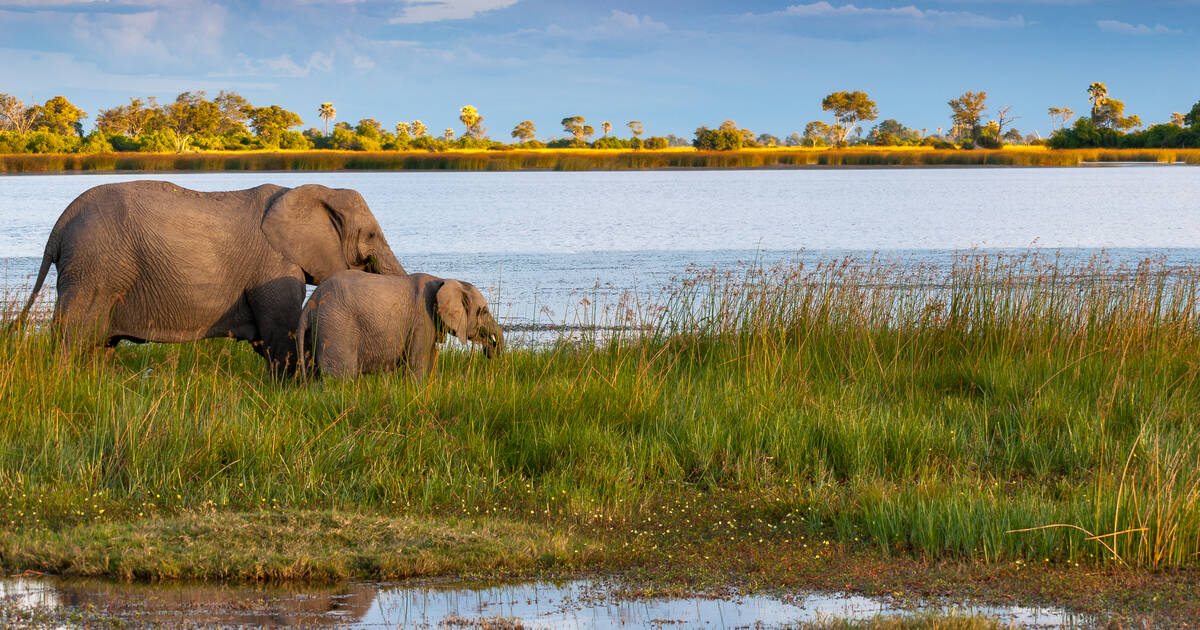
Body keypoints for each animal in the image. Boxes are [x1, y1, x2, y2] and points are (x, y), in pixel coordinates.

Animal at [16, 178, 408, 376]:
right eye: (371, 235)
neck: (313, 191)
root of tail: (60, 225)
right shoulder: (275, 264)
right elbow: (280, 333)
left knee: (99, 345)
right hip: (93, 270)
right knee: (72, 337)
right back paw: (65, 382)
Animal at [304, 268, 506, 379]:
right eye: (484, 311)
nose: (489, 352)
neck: (444, 280)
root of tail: (311, 303)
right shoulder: (422, 320)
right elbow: (418, 363)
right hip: (336, 325)